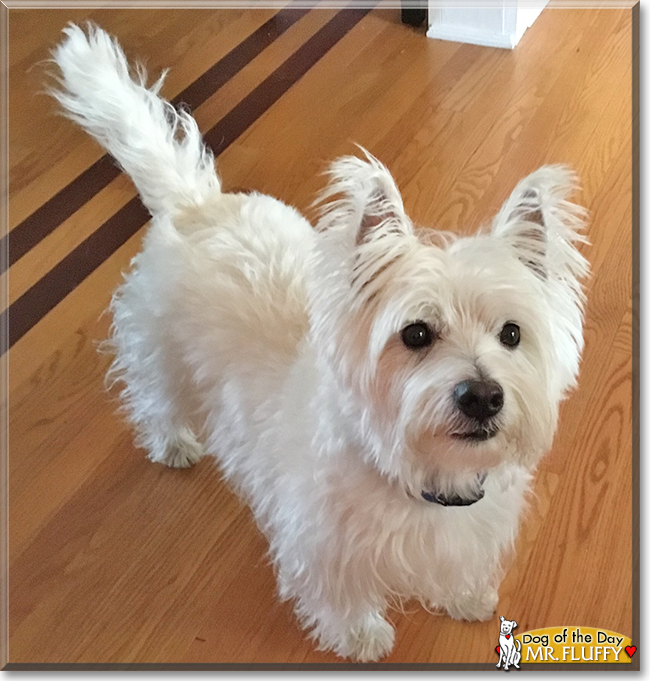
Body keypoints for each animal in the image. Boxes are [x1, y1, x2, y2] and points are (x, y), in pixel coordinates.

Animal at [50, 25, 588, 660]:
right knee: (156, 395)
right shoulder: (323, 539)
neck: (421, 475)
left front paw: (468, 598)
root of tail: (197, 204)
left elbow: (462, 566)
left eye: (512, 333)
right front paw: (362, 636)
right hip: (159, 346)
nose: (482, 397)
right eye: (416, 334)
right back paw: (173, 443)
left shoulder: (473, 524)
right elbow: (341, 592)